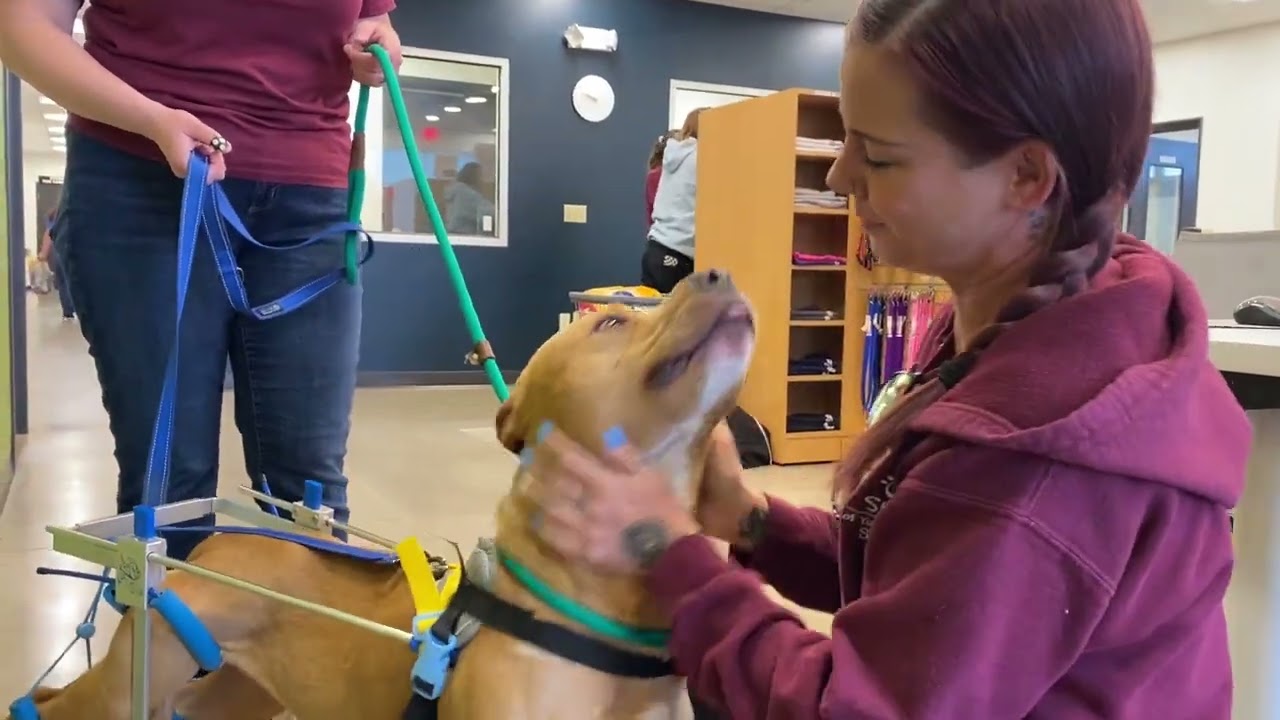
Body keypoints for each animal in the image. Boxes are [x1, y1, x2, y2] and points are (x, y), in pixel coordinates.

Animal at [15, 269, 752, 717]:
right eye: (611, 324)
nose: (719, 271)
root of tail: (227, 537)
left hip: (242, 689)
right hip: (126, 687)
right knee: (55, 705)